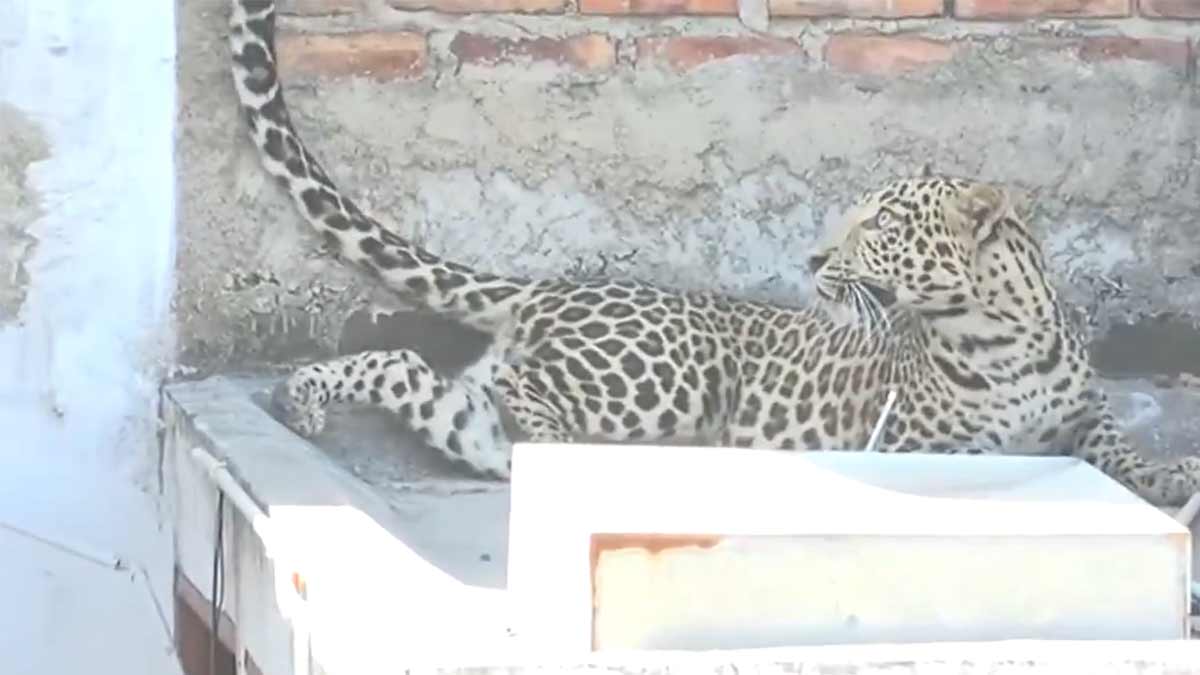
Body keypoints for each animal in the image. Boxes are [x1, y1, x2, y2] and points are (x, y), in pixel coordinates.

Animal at [228, 0, 1200, 506]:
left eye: (880, 223)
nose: (813, 259)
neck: (997, 338)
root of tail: (543, 288)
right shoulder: (909, 444)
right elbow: (984, 455)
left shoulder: (1084, 413)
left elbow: (1115, 445)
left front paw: (1170, 473)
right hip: (661, 377)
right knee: (523, 392)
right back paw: (576, 449)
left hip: (474, 420)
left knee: (417, 372)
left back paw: (302, 395)